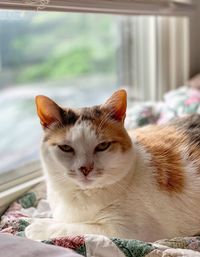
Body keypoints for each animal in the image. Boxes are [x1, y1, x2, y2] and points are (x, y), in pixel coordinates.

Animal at [25, 89, 200, 241]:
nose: (85, 168)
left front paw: (37, 226)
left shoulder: (125, 230)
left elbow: (76, 227)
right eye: (66, 148)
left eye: (103, 146)